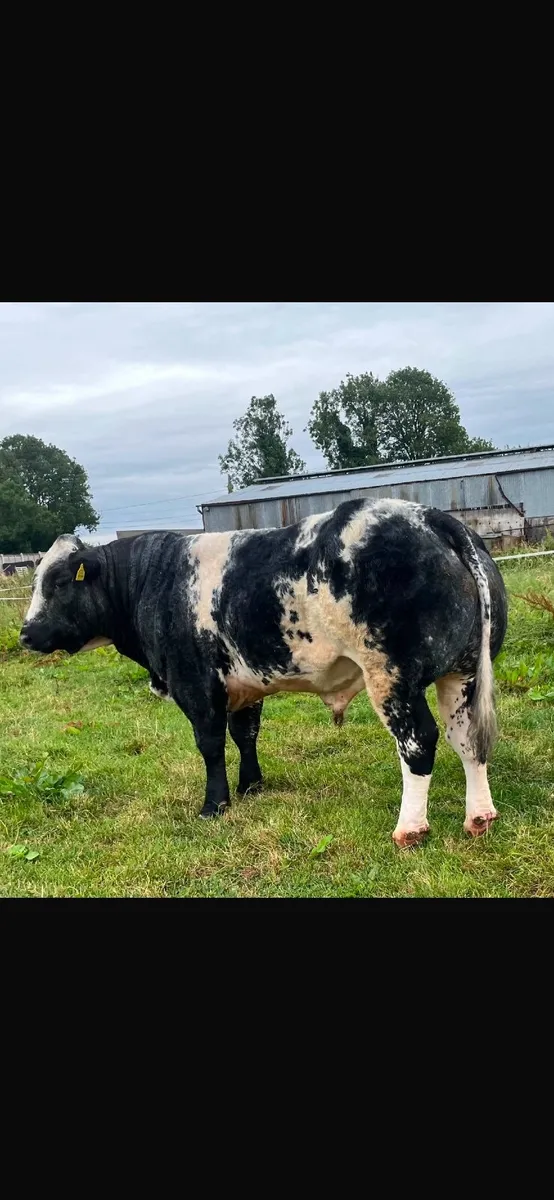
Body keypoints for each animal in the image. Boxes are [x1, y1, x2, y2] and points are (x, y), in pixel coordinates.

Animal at [19, 499, 507, 847]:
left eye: (58, 582)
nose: (25, 633)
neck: (152, 580)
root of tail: (428, 517)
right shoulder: (242, 685)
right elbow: (245, 734)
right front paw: (250, 784)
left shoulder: (196, 685)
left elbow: (211, 745)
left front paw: (214, 804)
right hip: (461, 674)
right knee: (466, 738)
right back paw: (479, 817)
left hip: (391, 677)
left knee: (418, 742)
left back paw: (410, 829)